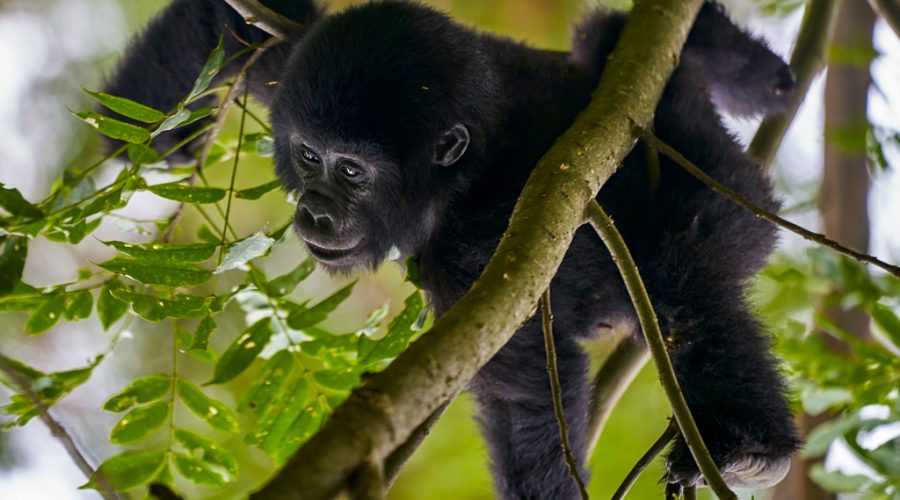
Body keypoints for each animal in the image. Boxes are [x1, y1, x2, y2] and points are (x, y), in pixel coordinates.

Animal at [104, 1, 800, 497]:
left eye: (352, 171)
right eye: (307, 156)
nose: (315, 209)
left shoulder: (480, 255)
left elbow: (526, 397)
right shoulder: (296, 66)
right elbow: (238, 21)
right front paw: (150, 140)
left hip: (717, 184)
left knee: (685, 283)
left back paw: (750, 447)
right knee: (604, 34)